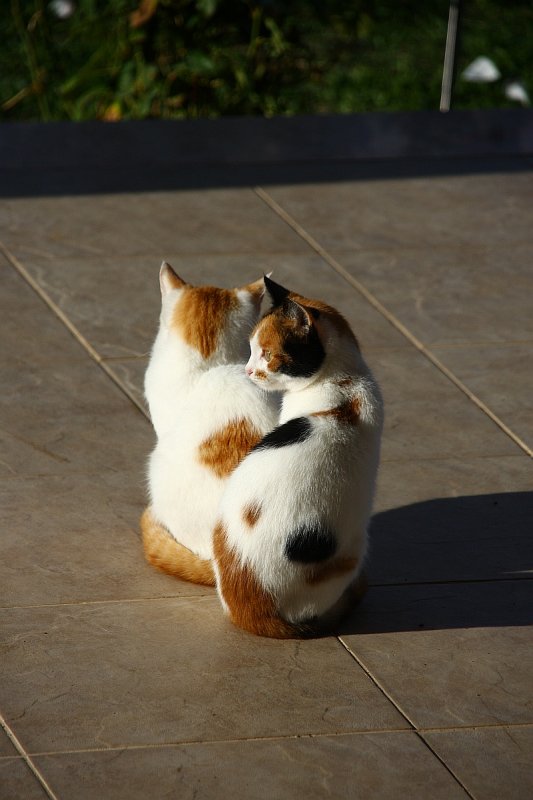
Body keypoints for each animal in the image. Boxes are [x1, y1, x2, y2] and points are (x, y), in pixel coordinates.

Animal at [212, 278, 382, 640]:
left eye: (267, 353)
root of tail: (251, 611)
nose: (248, 369)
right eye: (251, 349)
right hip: (354, 548)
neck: (343, 381)